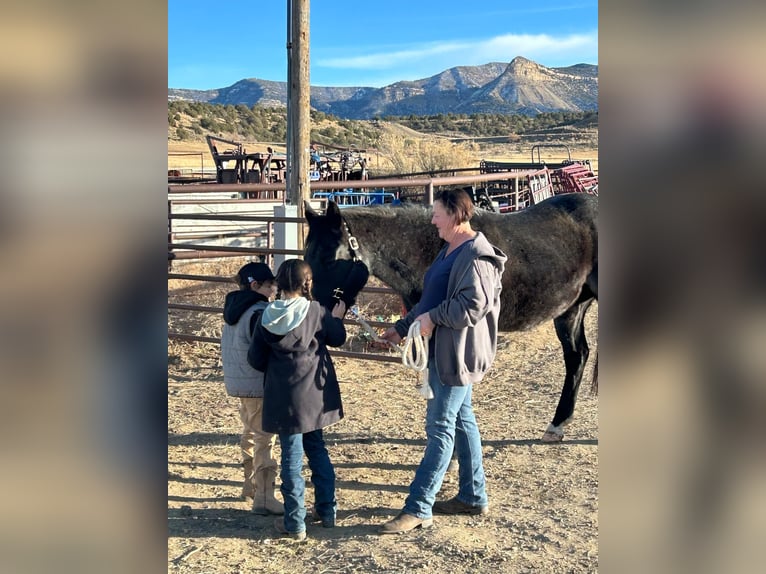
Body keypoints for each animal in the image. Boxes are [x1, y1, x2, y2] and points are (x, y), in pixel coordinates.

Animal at [302, 195, 600, 446]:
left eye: (331, 259)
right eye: (307, 256)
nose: (318, 319)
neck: (428, 247)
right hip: (570, 310)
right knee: (577, 356)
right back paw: (557, 426)